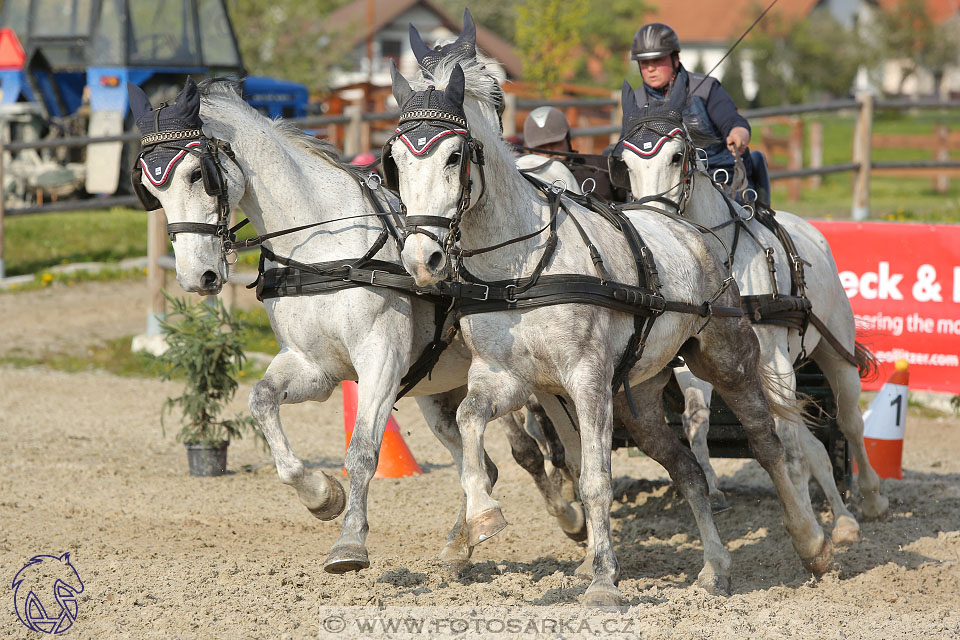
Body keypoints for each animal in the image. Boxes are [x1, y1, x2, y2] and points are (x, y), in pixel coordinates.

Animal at [612, 81, 888, 544]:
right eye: (626, 164)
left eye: (677, 156)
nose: (653, 220)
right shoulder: (700, 363)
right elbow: (698, 423)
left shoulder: (775, 361)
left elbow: (792, 448)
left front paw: (805, 522)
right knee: (812, 443)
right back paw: (843, 518)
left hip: (834, 351)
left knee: (849, 422)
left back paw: (867, 501)